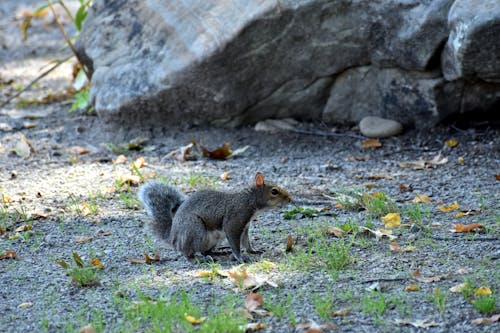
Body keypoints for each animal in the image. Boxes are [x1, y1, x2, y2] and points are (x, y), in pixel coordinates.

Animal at [138, 171, 292, 262]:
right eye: (274, 191)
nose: (290, 199)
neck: (248, 200)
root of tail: (173, 237)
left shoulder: (245, 226)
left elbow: (246, 241)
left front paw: (252, 250)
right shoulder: (234, 220)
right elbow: (235, 242)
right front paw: (240, 257)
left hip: (213, 238)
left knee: (204, 250)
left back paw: (218, 253)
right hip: (194, 228)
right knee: (188, 251)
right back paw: (197, 258)